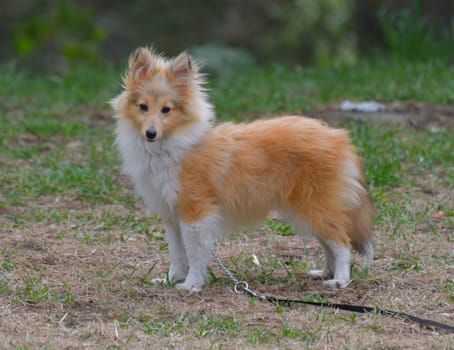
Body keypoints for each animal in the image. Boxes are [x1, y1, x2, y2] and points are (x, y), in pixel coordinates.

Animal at [110, 47, 372, 292]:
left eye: (166, 109)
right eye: (143, 107)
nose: (150, 133)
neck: (172, 146)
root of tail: (337, 137)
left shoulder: (195, 213)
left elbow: (194, 254)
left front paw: (191, 284)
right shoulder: (171, 215)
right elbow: (177, 254)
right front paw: (170, 280)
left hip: (315, 206)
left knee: (341, 243)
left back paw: (340, 280)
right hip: (306, 211)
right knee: (329, 244)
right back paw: (324, 273)